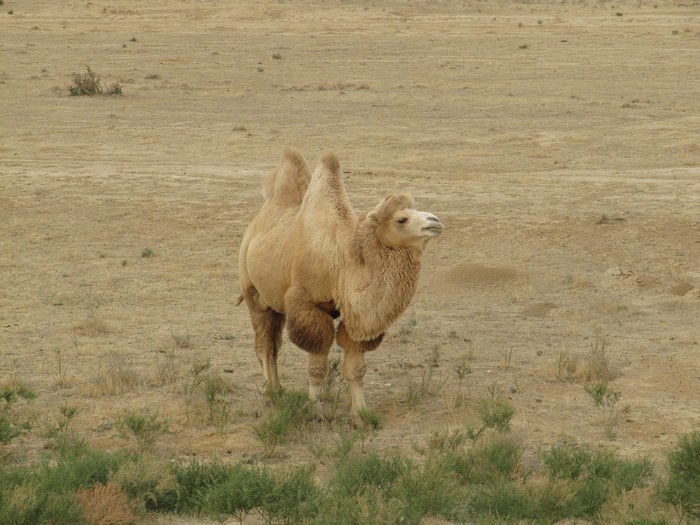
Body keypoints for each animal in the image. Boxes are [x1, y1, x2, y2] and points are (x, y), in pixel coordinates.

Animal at [237, 148, 443, 422]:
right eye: (401, 219)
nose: (435, 221)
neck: (342, 264)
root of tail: (255, 226)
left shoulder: (354, 317)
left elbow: (356, 367)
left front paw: (361, 414)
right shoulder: (308, 305)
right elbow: (317, 367)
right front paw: (314, 408)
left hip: (276, 301)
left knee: (274, 343)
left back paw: (279, 390)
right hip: (252, 292)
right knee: (265, 344)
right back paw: (270, 393)